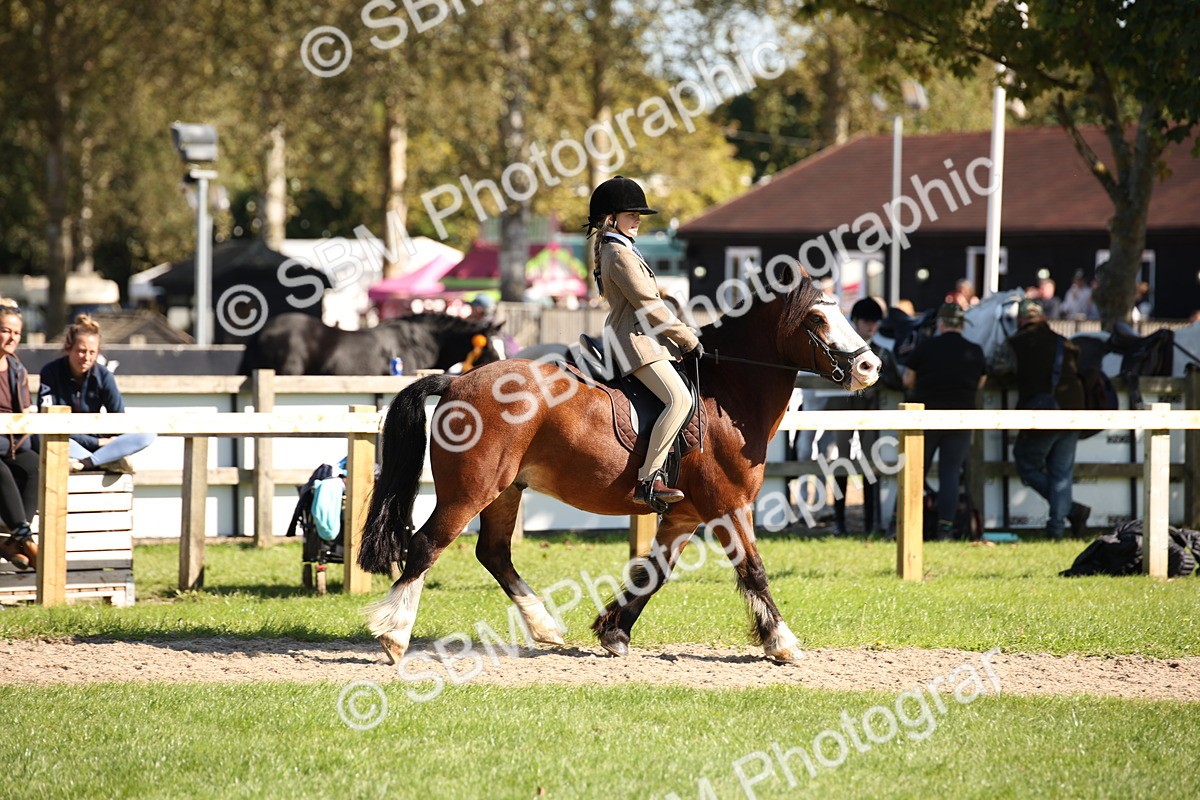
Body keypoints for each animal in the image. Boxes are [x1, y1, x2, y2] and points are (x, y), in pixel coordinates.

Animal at [357, 267, 882, 664]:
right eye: (817, 317)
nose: (870, 367)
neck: (728, 393)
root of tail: (456, 382)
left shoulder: (686, 515)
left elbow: (653, 573)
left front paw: (613, 632)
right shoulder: (730, 506)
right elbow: (753, 569)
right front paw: (782, 642)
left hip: (505, 491)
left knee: (494, 553)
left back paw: (544, 626)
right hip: (470, 491)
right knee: (427, 545)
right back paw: (395, 635)